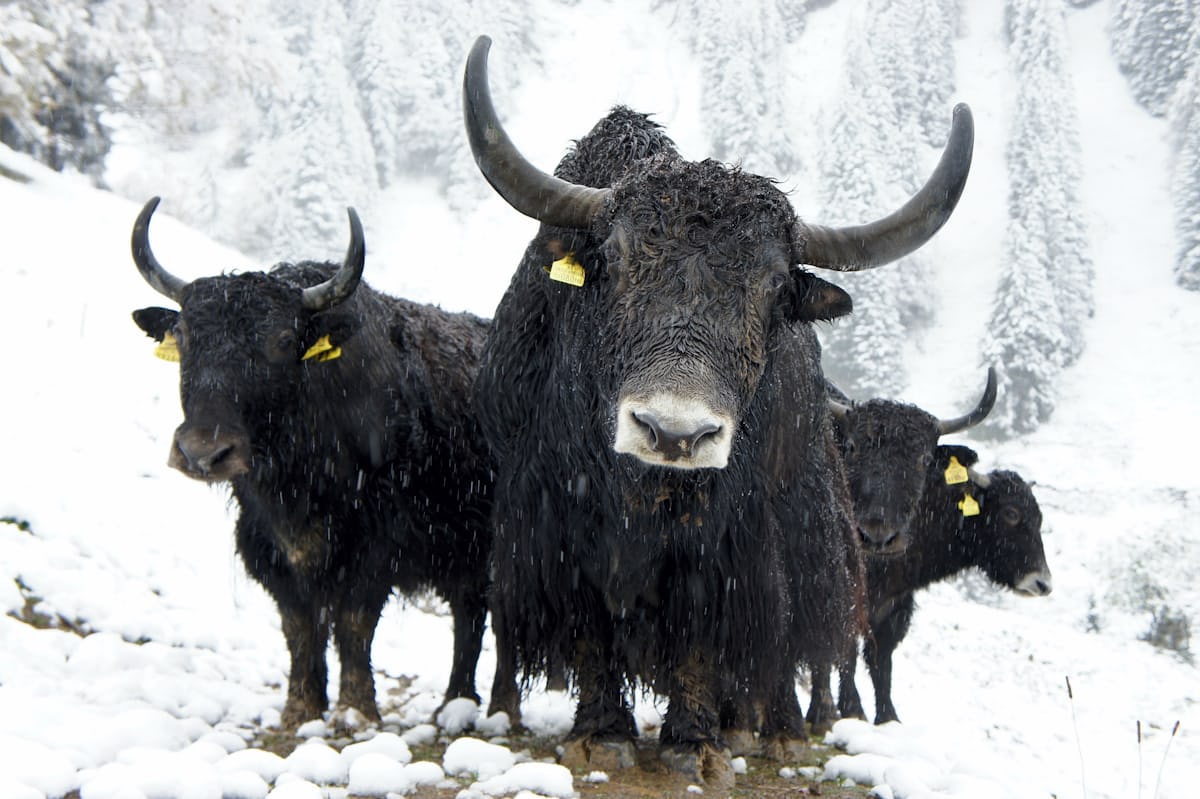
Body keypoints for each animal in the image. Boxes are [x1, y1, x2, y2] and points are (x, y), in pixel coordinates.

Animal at [129, 198, 515, 728]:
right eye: (184, 335)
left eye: (280, 339)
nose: (202, 453)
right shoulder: (267, 546)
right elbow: (299, 625)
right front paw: (300, 709)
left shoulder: (376, 544)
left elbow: (353, 623)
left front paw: (357, 712)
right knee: (469, 613)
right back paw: (455, 704)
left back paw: (500, 710)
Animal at [462, 34, 973, 786]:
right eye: (615, 259)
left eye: (773, 288)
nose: (673, 433)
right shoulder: (554, 519)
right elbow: (591, 625)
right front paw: (602, 734)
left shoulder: (733, 537)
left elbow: (705, 627)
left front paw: (693, 743)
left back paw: (773, 730)